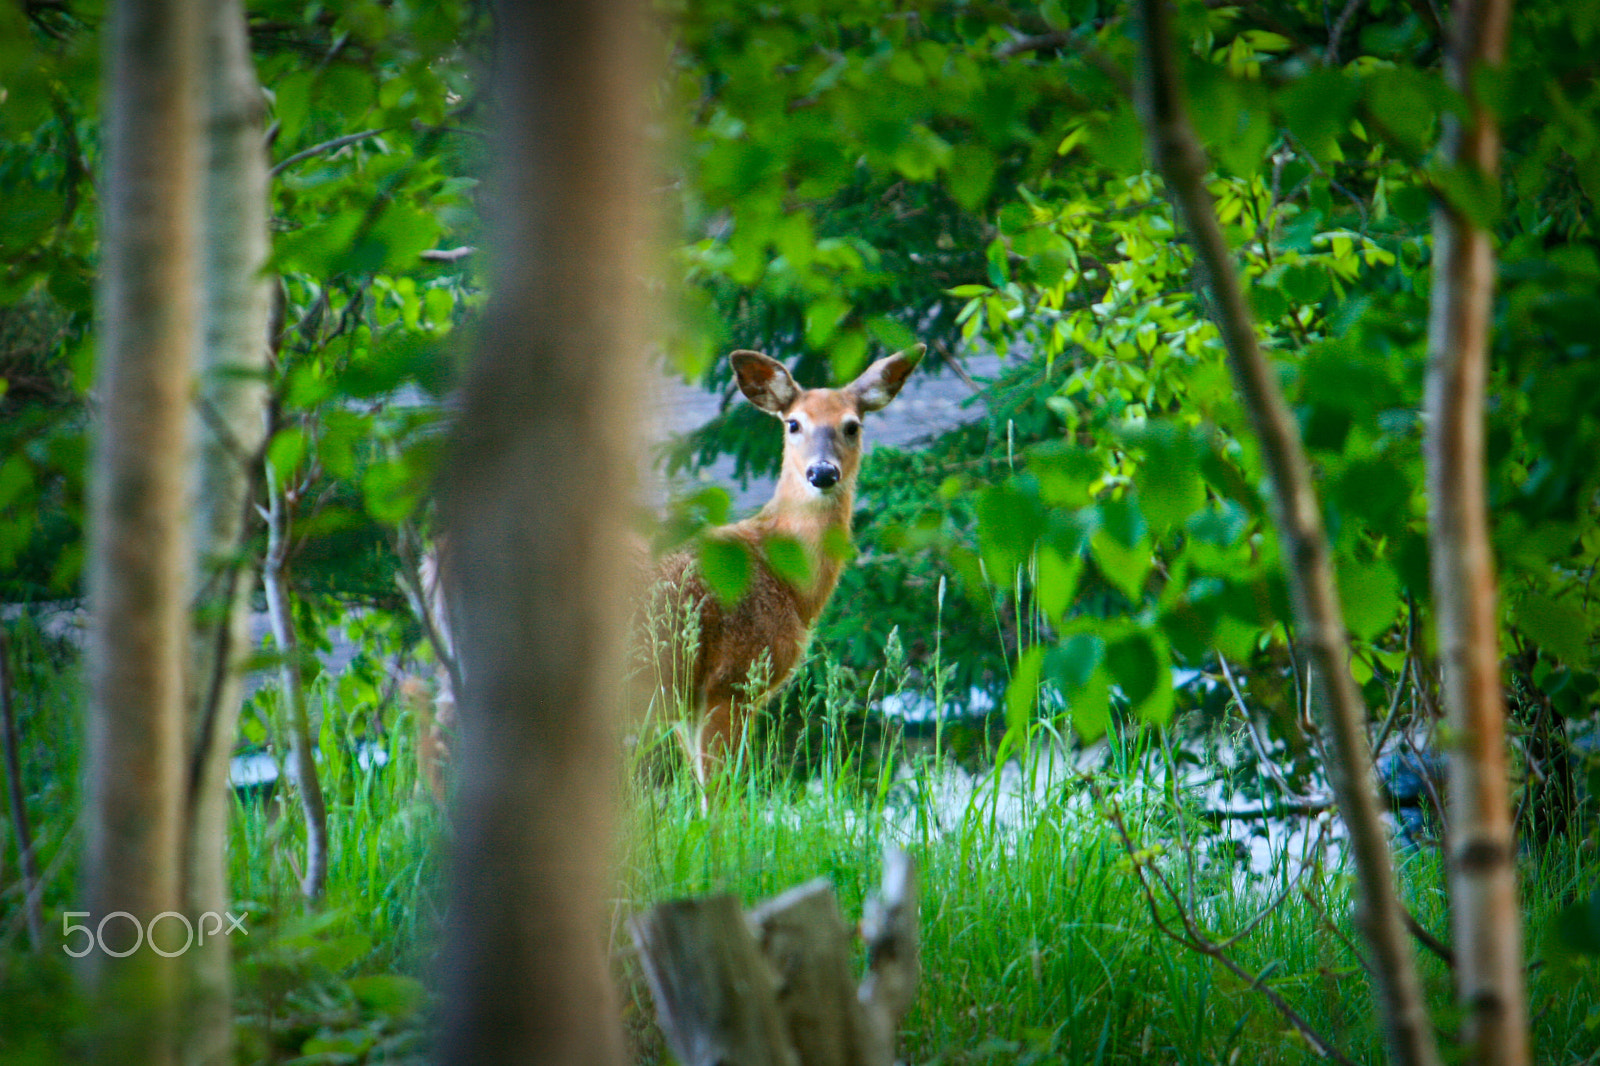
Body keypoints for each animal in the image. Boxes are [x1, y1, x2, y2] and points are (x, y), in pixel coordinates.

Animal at [646, 343, 924, 792]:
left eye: (852, 426)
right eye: (794, 423)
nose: (822, 471)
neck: (789, 586)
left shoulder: (688, 704)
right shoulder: (732, 681)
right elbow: (721, 796)